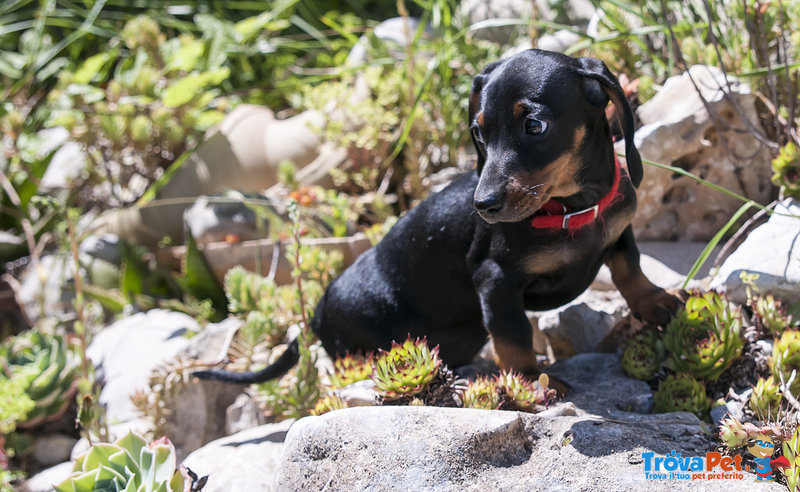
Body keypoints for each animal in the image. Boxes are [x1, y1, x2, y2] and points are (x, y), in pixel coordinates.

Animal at [197, 50, 680, 386]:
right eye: (478, 133)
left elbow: (629, 268)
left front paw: (655, 302)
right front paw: (529, 381)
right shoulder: (495, 280)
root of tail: (315, 311)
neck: (571, 209)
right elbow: (514, 336)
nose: (483, 205)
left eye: (535, 126)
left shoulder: (619, 227)